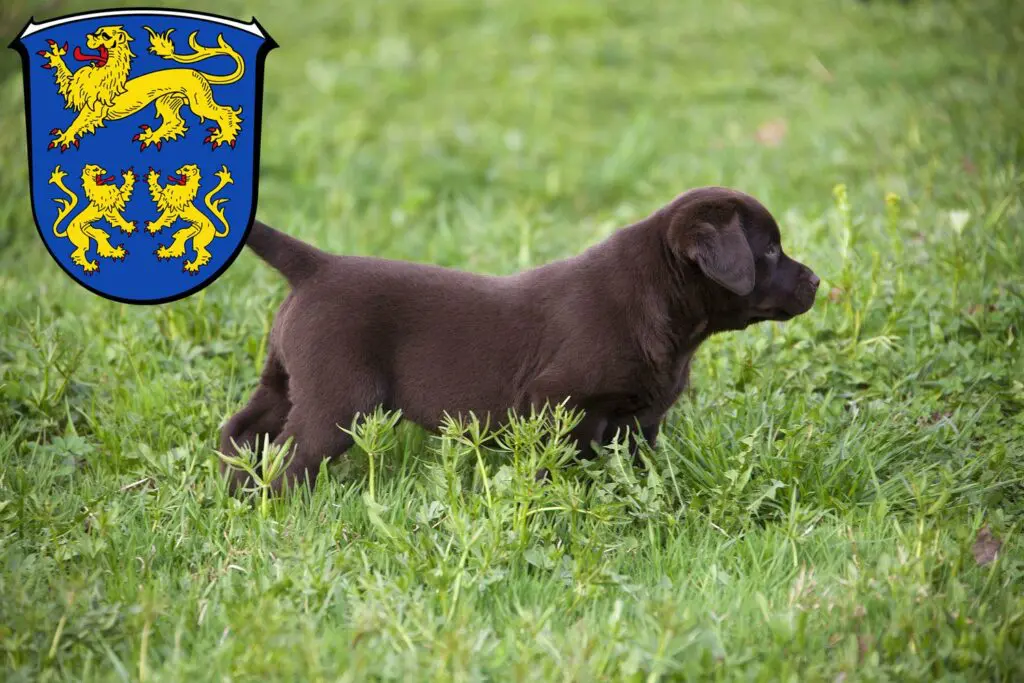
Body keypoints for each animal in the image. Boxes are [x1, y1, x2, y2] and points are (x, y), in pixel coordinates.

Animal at [37, 25, 245, 152]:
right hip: (166, 102)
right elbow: (65, 77)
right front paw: (55, 55)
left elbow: (76, 123)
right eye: (96, 32)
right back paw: (152, 136)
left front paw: (64, 138)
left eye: (104, 35)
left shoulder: (94, 110)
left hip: (198, 103)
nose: (88, 36)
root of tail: (197, 72)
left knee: (225, 112)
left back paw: (225, 136)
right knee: (175, 121)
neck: (101, 72)